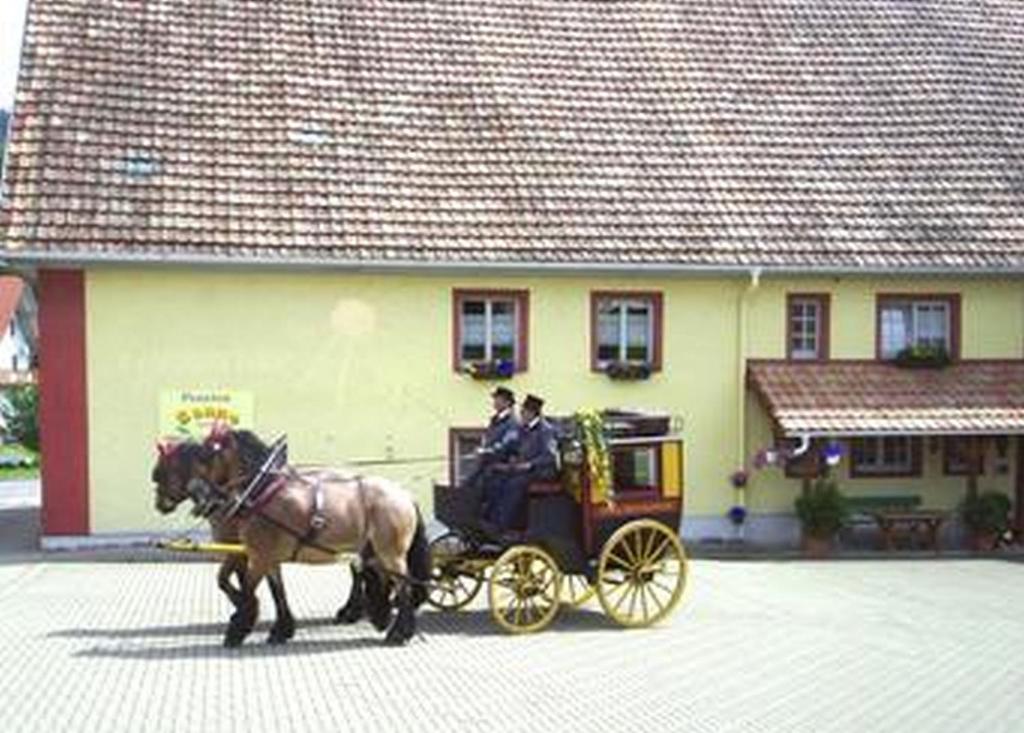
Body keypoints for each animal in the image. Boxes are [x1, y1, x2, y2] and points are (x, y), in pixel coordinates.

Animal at [149, 429, 430, 647]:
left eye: (206, 454)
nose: (159, 504)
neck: (258, 491)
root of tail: (404, 495)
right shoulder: (266, 556)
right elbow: (275, 591)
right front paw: (281, 629)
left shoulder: (256, 556)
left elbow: (245, 587)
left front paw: (240, 623)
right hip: (373, 550)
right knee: (379, 578)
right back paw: (378, 616)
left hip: (391, 552)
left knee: (403, 585)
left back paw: (397, 632)